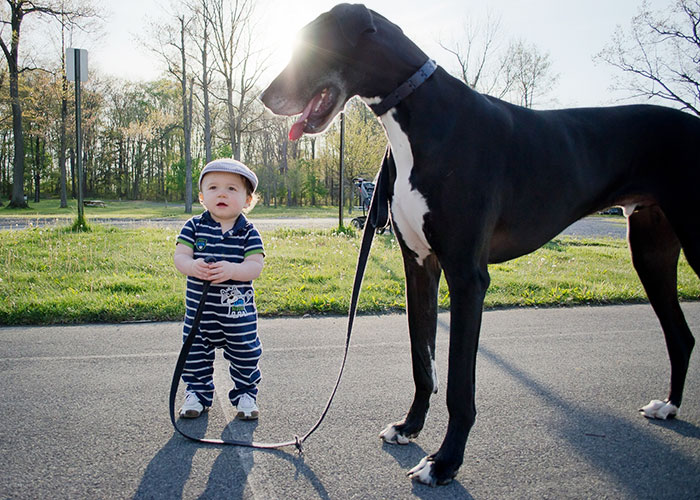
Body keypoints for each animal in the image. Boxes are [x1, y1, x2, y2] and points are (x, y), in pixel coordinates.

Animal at [260, 2, 696, 484]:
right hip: (650, 251)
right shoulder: (419, 267)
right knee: (681, 335)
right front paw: (410, 427)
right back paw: (669, 406)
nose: (264, 97)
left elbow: (457, 386)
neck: (420, 113)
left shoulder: (468, 277)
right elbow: (422, 361)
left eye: (311, 43)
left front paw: (445, 462)